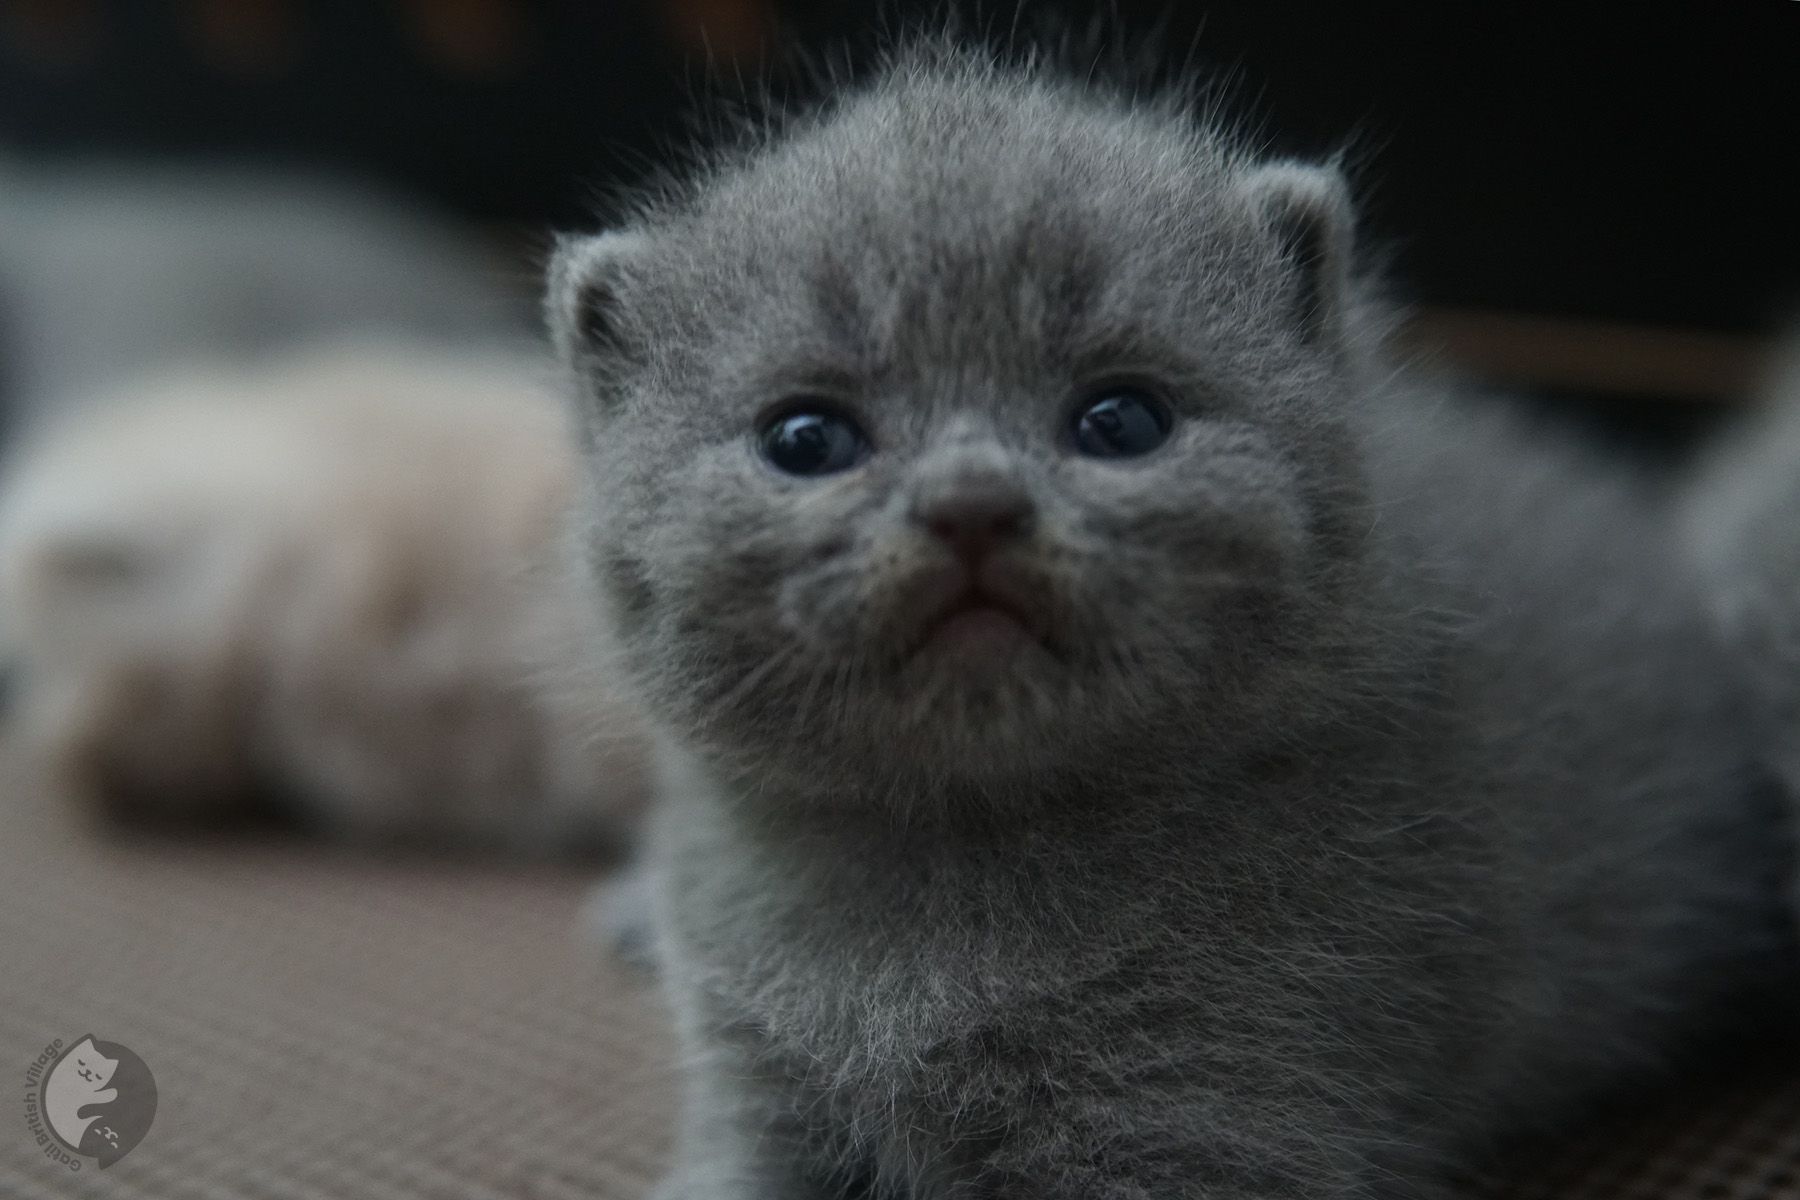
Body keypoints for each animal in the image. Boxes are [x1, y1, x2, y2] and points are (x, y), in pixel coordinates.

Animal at [547, 42, 1800, 1194]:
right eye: (806, 440)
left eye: (1120, 421)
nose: (971, 502)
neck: (960, 867)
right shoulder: (755, 1093)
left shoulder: (1219, 1107)